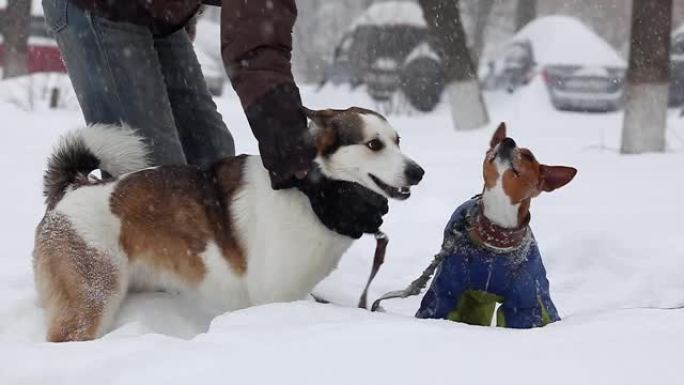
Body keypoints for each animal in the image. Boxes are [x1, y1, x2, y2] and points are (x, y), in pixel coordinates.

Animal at [37, 106, 424, 340]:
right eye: (374, 144)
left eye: (398, 141)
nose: (418, 172)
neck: (314, 194)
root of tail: (71, 189)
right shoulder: (272, 296)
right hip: (94, 295)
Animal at [416, 123, 576, 328]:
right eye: (500, 142)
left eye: (529, 156)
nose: (508, 140)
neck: (496, 235)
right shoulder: (447, 288)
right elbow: (437, 305)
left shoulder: (523, 299)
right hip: (472, 299)